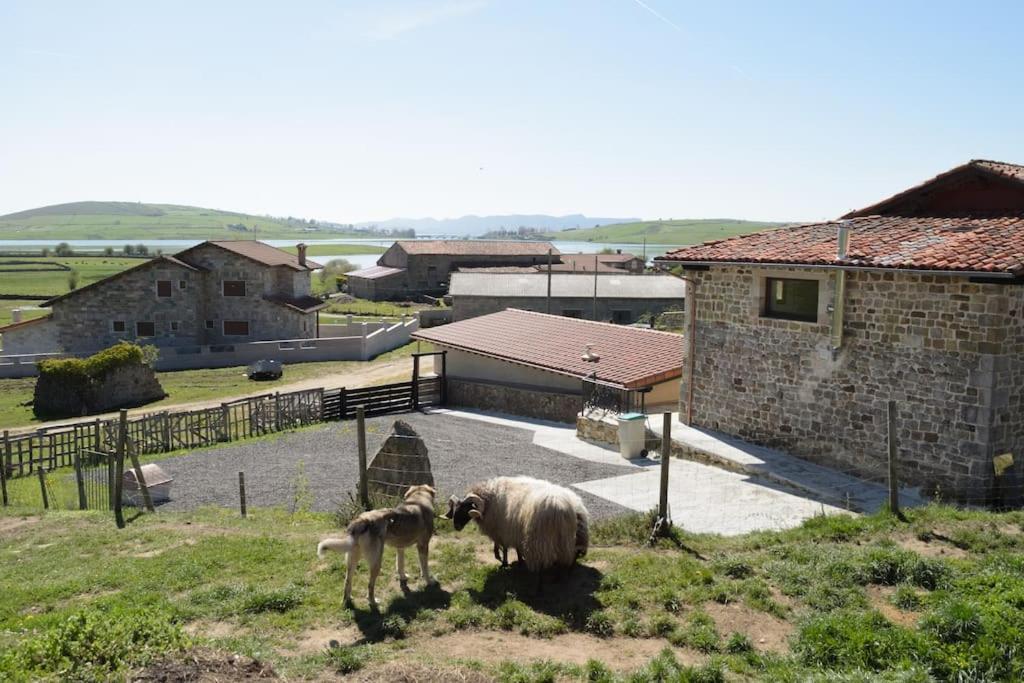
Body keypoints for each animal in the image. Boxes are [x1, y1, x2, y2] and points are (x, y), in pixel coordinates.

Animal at [442, 475, 593, 581]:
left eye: (466, 509)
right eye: (455, 509)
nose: (456, 526)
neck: (489, 500)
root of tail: (570, 509)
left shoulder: (504, 530)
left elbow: (505, 548)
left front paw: (504, 562)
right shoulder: (515, 530)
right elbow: (517, 548)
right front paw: (519, 561)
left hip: (542, 539)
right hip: (573, 537)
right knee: (573, 554)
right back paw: (567, 573)